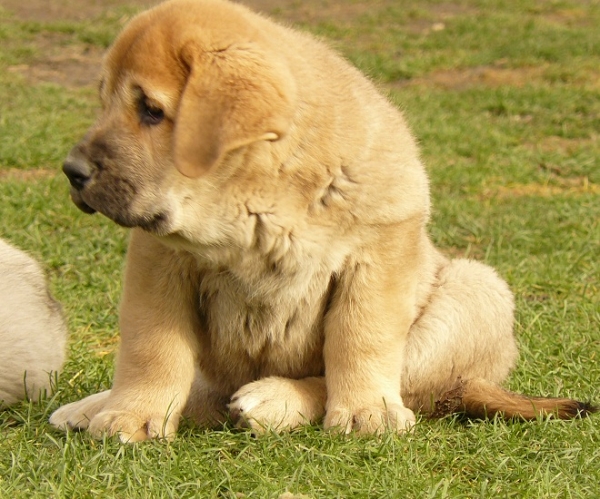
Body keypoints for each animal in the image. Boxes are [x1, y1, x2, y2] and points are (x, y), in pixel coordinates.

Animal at [50, 0, 592, 442]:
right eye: (105, 102)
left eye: (151, 110)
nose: (72, 171)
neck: (256, 201)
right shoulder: (158, 260)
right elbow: (153, 345)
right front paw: (130, 414)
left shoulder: (378, 252)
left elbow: (359, 339)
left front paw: (366, 412)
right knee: (209, 391)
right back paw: (90, 407)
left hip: (477, 289)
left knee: (398, 383)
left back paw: (274, 400)